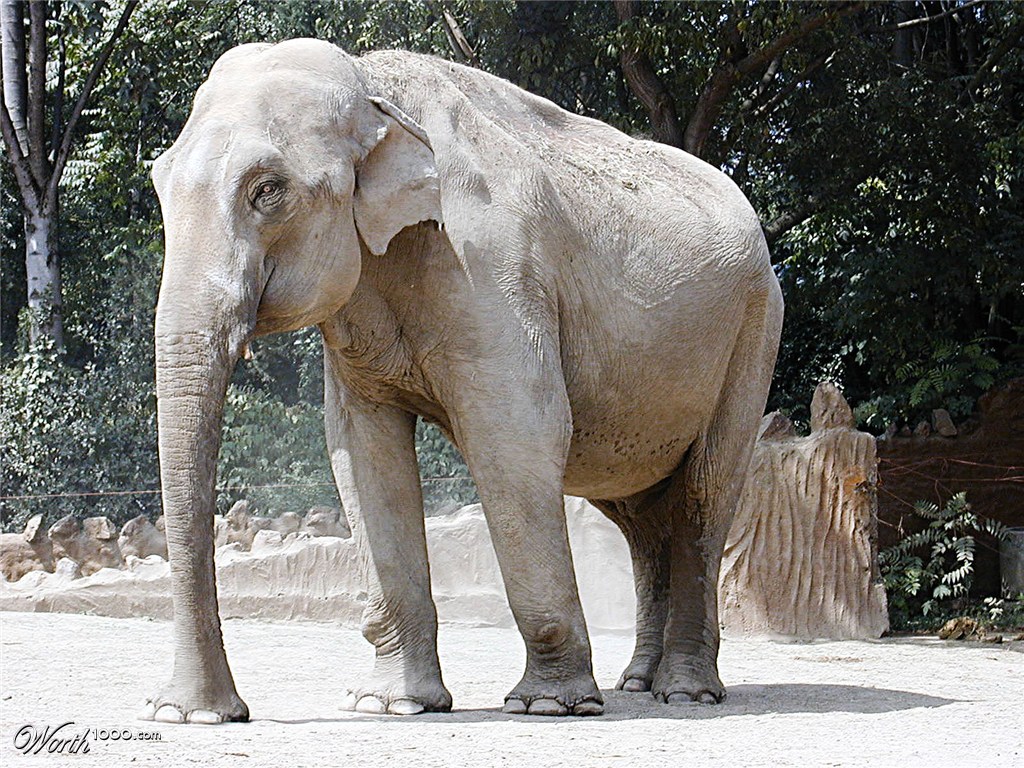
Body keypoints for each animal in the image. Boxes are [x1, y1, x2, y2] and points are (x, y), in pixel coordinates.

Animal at [143, 39, 783, 724]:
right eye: (158, 182)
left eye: (268, 190)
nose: (209, 712)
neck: (371, 84)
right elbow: (363, 457)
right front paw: (391, 705)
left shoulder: (490, 269)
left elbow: (517, 437)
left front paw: (546, 705)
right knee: (639, 519)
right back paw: (637, 682)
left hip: (753, 331)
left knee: (701, 495)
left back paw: (685, 691)